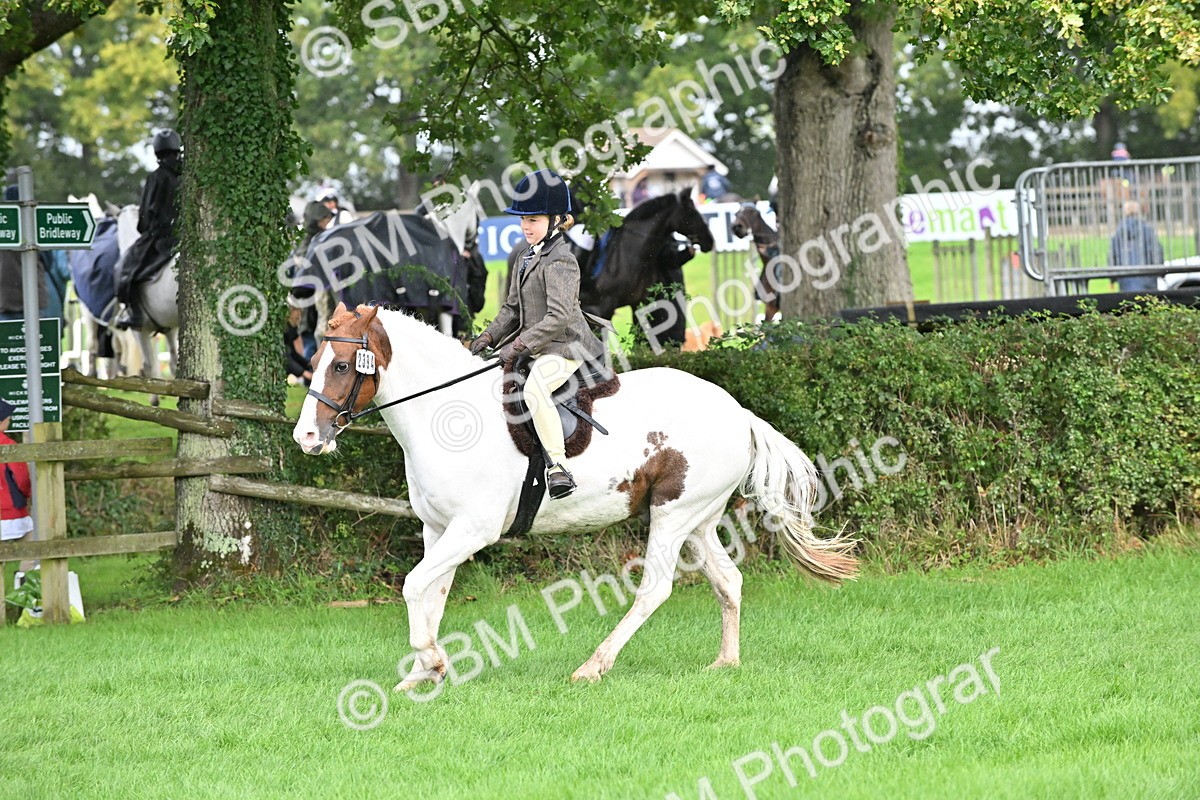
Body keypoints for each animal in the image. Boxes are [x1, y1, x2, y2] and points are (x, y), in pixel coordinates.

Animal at [291, 303, 858, 689]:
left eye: (342, 367)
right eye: (315, 359)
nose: (307, 437)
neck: (443, 418)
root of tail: (738, 412)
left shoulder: (472, 529)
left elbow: (413, 587)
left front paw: (431, 663)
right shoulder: (438, 529)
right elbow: (431, 596)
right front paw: (422, 674)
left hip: (672, 515)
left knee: (655, 590)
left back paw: (593, 666)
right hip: (698, 518)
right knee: (728, 581)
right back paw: (725, 662)